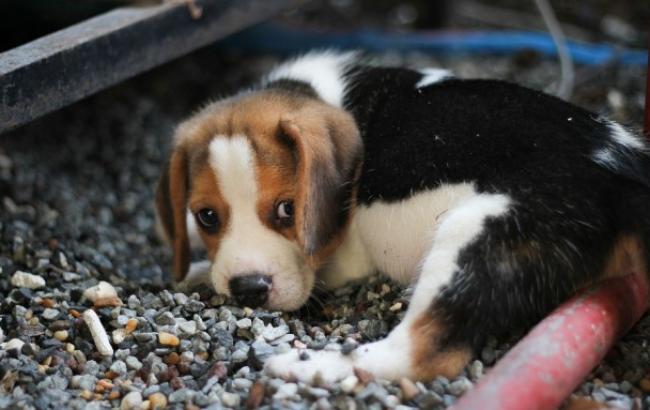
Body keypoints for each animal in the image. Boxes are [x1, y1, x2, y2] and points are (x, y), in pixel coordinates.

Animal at [157, 52, 648, 384]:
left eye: (287, 210)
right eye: (206, 217)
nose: (248, 290)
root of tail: (625, 173)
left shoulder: (342, 259)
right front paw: (193, 270)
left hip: (474, 236)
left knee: (419, 353)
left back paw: (312, 366)